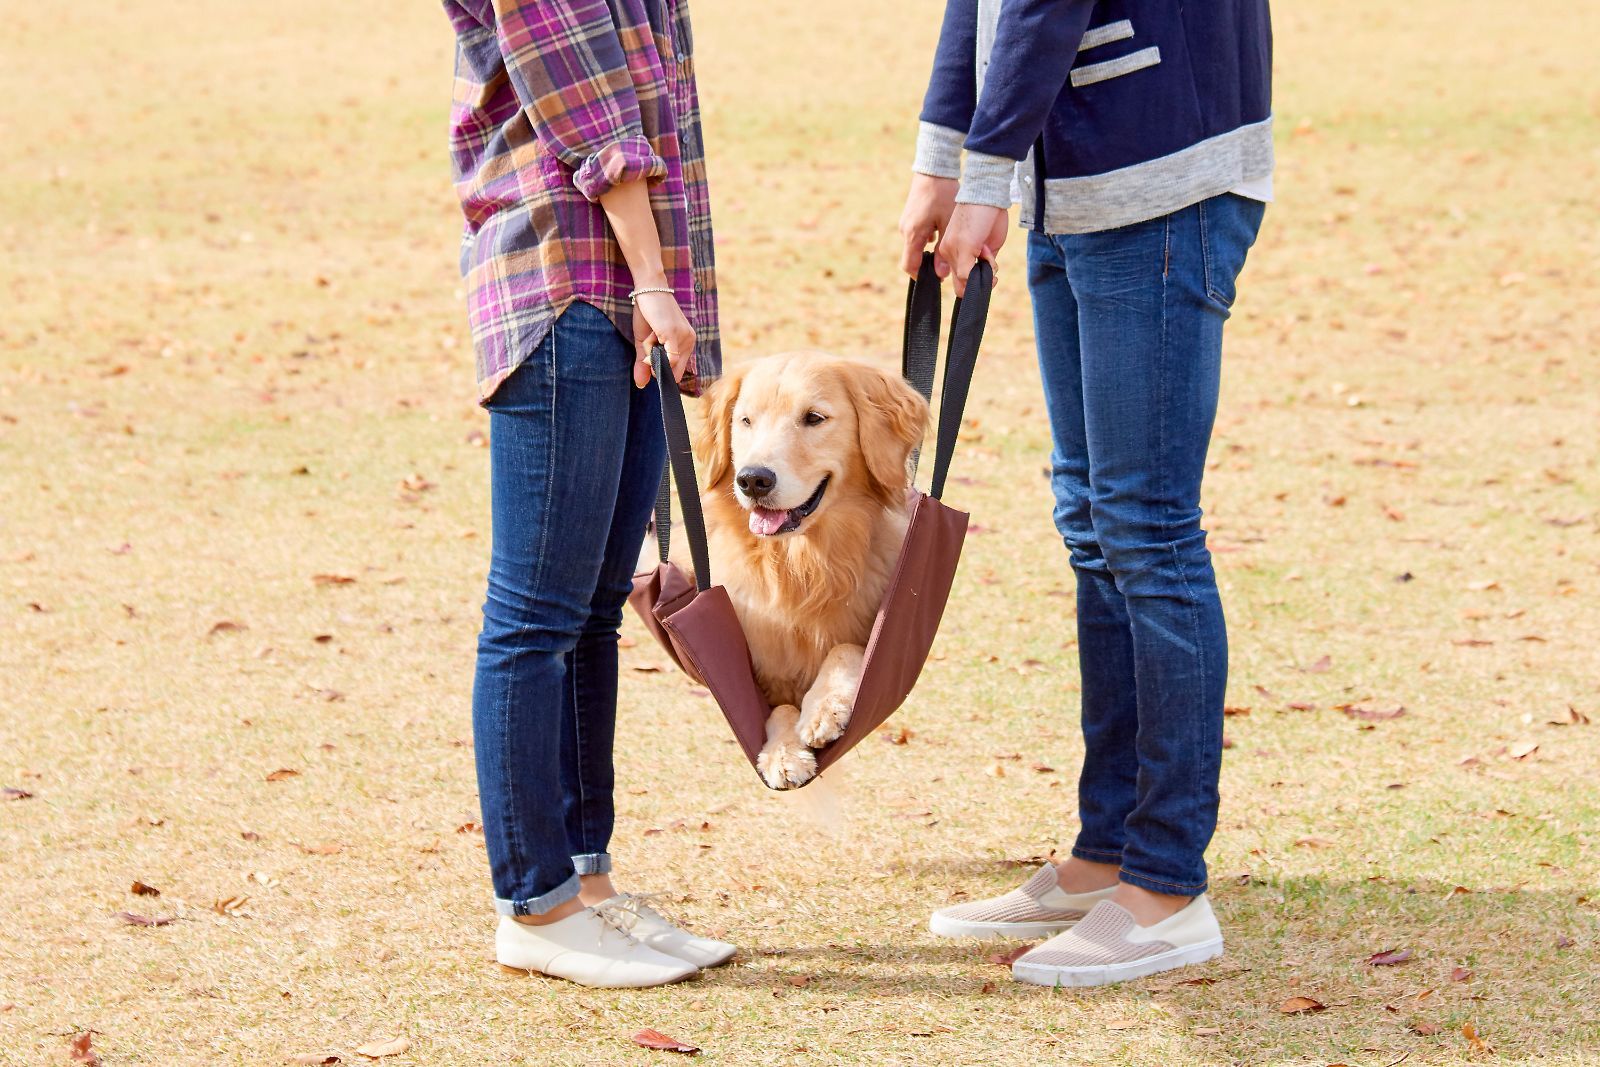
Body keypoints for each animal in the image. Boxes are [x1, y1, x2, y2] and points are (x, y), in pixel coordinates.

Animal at [694, 355, 934, 790]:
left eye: (814, 418)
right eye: (746, 421)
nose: (752, 479)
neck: (801, 567)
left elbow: (845, 648)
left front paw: (824, 709)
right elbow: (780, 710)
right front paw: (783, 753)